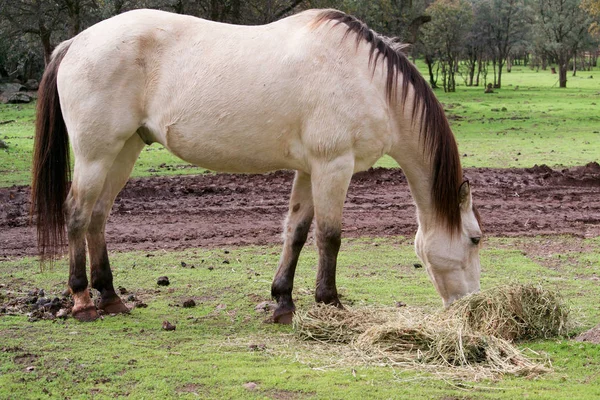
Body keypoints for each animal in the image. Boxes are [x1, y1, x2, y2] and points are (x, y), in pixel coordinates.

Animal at [31, 7, 482, 324]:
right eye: (476, 239)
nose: (472, 305)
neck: (368, 81)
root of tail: (77, 41)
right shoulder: (334, 166)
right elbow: (330, 237)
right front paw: (330, 303)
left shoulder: (310, 169)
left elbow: (296, 233)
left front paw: (283, 302)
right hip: (96, 154)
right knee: (77, 213)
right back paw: (83, 302)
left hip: (124, 150)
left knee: (98, 216)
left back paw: (110, 298)